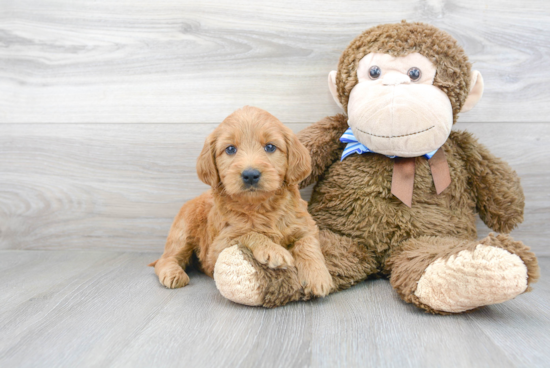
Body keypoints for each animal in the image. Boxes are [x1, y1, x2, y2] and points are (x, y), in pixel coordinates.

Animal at [150, 105, 332, 298]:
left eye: (270, 147)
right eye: (230, 149)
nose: (250, 174)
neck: (261, 207)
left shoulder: (305, 225)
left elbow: (308, 244)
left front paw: (317, 276)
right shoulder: (217, 246)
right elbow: (248, 233)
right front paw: (274, 250)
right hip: (182, 233)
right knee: (166, 258)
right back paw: (173, 274)